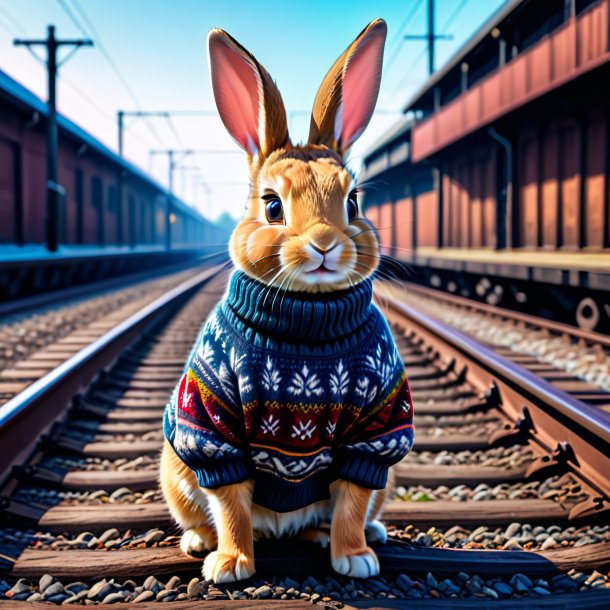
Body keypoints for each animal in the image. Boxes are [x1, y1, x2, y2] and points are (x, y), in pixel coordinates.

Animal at [159, 16, 414, 580]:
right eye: (272, 206)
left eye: (353, 200)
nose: (324, 243)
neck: (307, 319)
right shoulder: (215, 428)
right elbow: (230, 498)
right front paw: (231, 564)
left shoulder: (374, 431)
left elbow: (352, 496)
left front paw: (354, 559)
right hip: (176, 468)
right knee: (208, 511)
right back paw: (200, 542)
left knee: (347, 509)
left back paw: (351, 536)